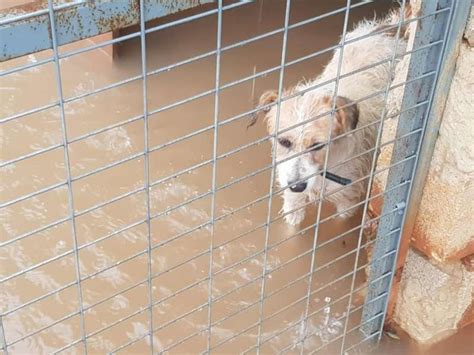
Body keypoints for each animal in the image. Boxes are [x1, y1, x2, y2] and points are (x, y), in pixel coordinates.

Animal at [250, 4, 410, 225]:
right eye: (284, 142)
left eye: (318, 145)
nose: (297, 186)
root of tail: (389, 29)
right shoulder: (292, 201)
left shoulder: (347, 201)